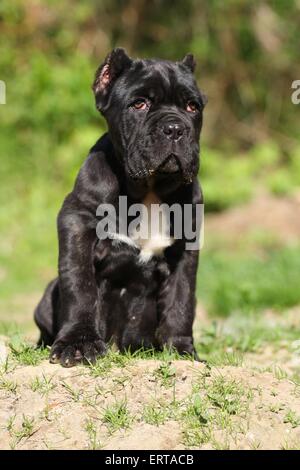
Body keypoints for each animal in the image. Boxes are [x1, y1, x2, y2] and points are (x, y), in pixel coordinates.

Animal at [33, 49, 206, 370]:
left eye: (192, 107)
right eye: (139, 104)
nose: (175, 128)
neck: (150, 187)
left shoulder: (185, 251)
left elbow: (181, 300)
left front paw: (181, 352)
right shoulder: (78, 225)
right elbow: (80, 287)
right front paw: (78, 345)